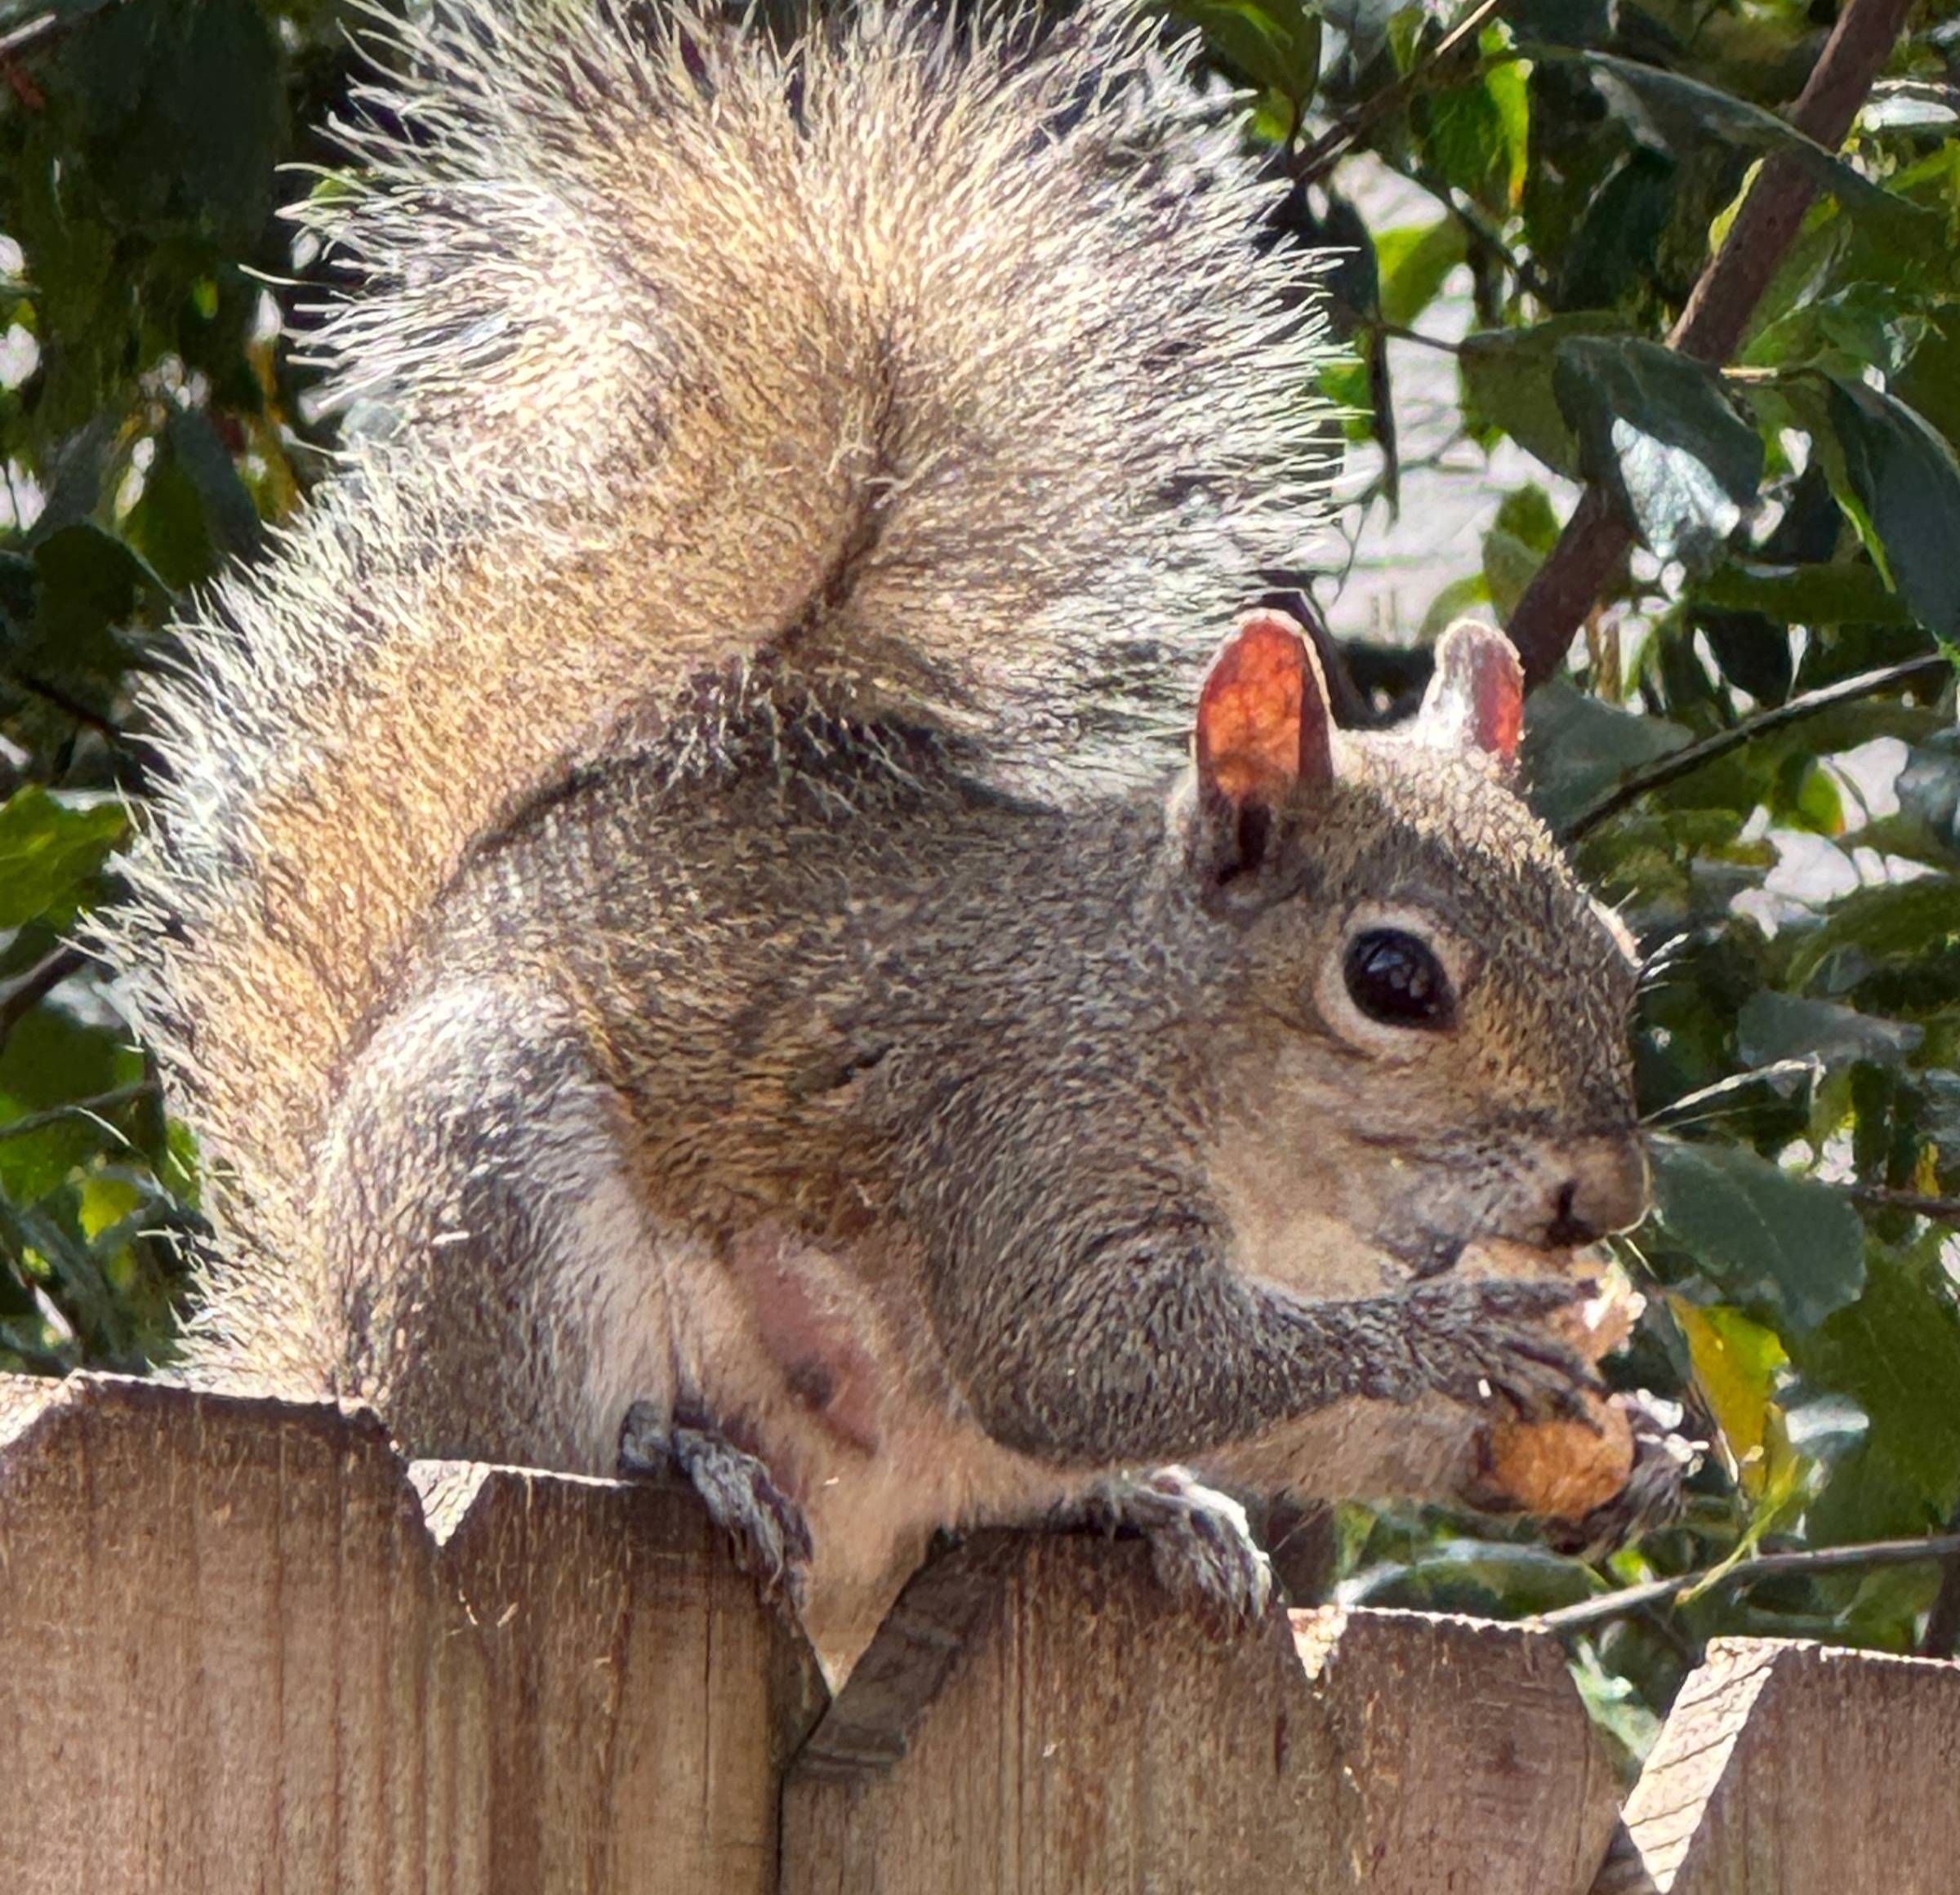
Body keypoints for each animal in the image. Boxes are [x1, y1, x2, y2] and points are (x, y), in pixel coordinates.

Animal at [108, 0, 1675, 1679]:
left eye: (1617, 955)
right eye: (1392, 980)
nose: (1608, 1200)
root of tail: (334, 1351)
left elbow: (1299, 1427)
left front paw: (1620, 1447)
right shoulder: (1017, 1133)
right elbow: (1080, 1359)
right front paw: (1442, 1338)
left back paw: (1151, 1508)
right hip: (487, 1176)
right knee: (524, 1433)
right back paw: (683, 1455)